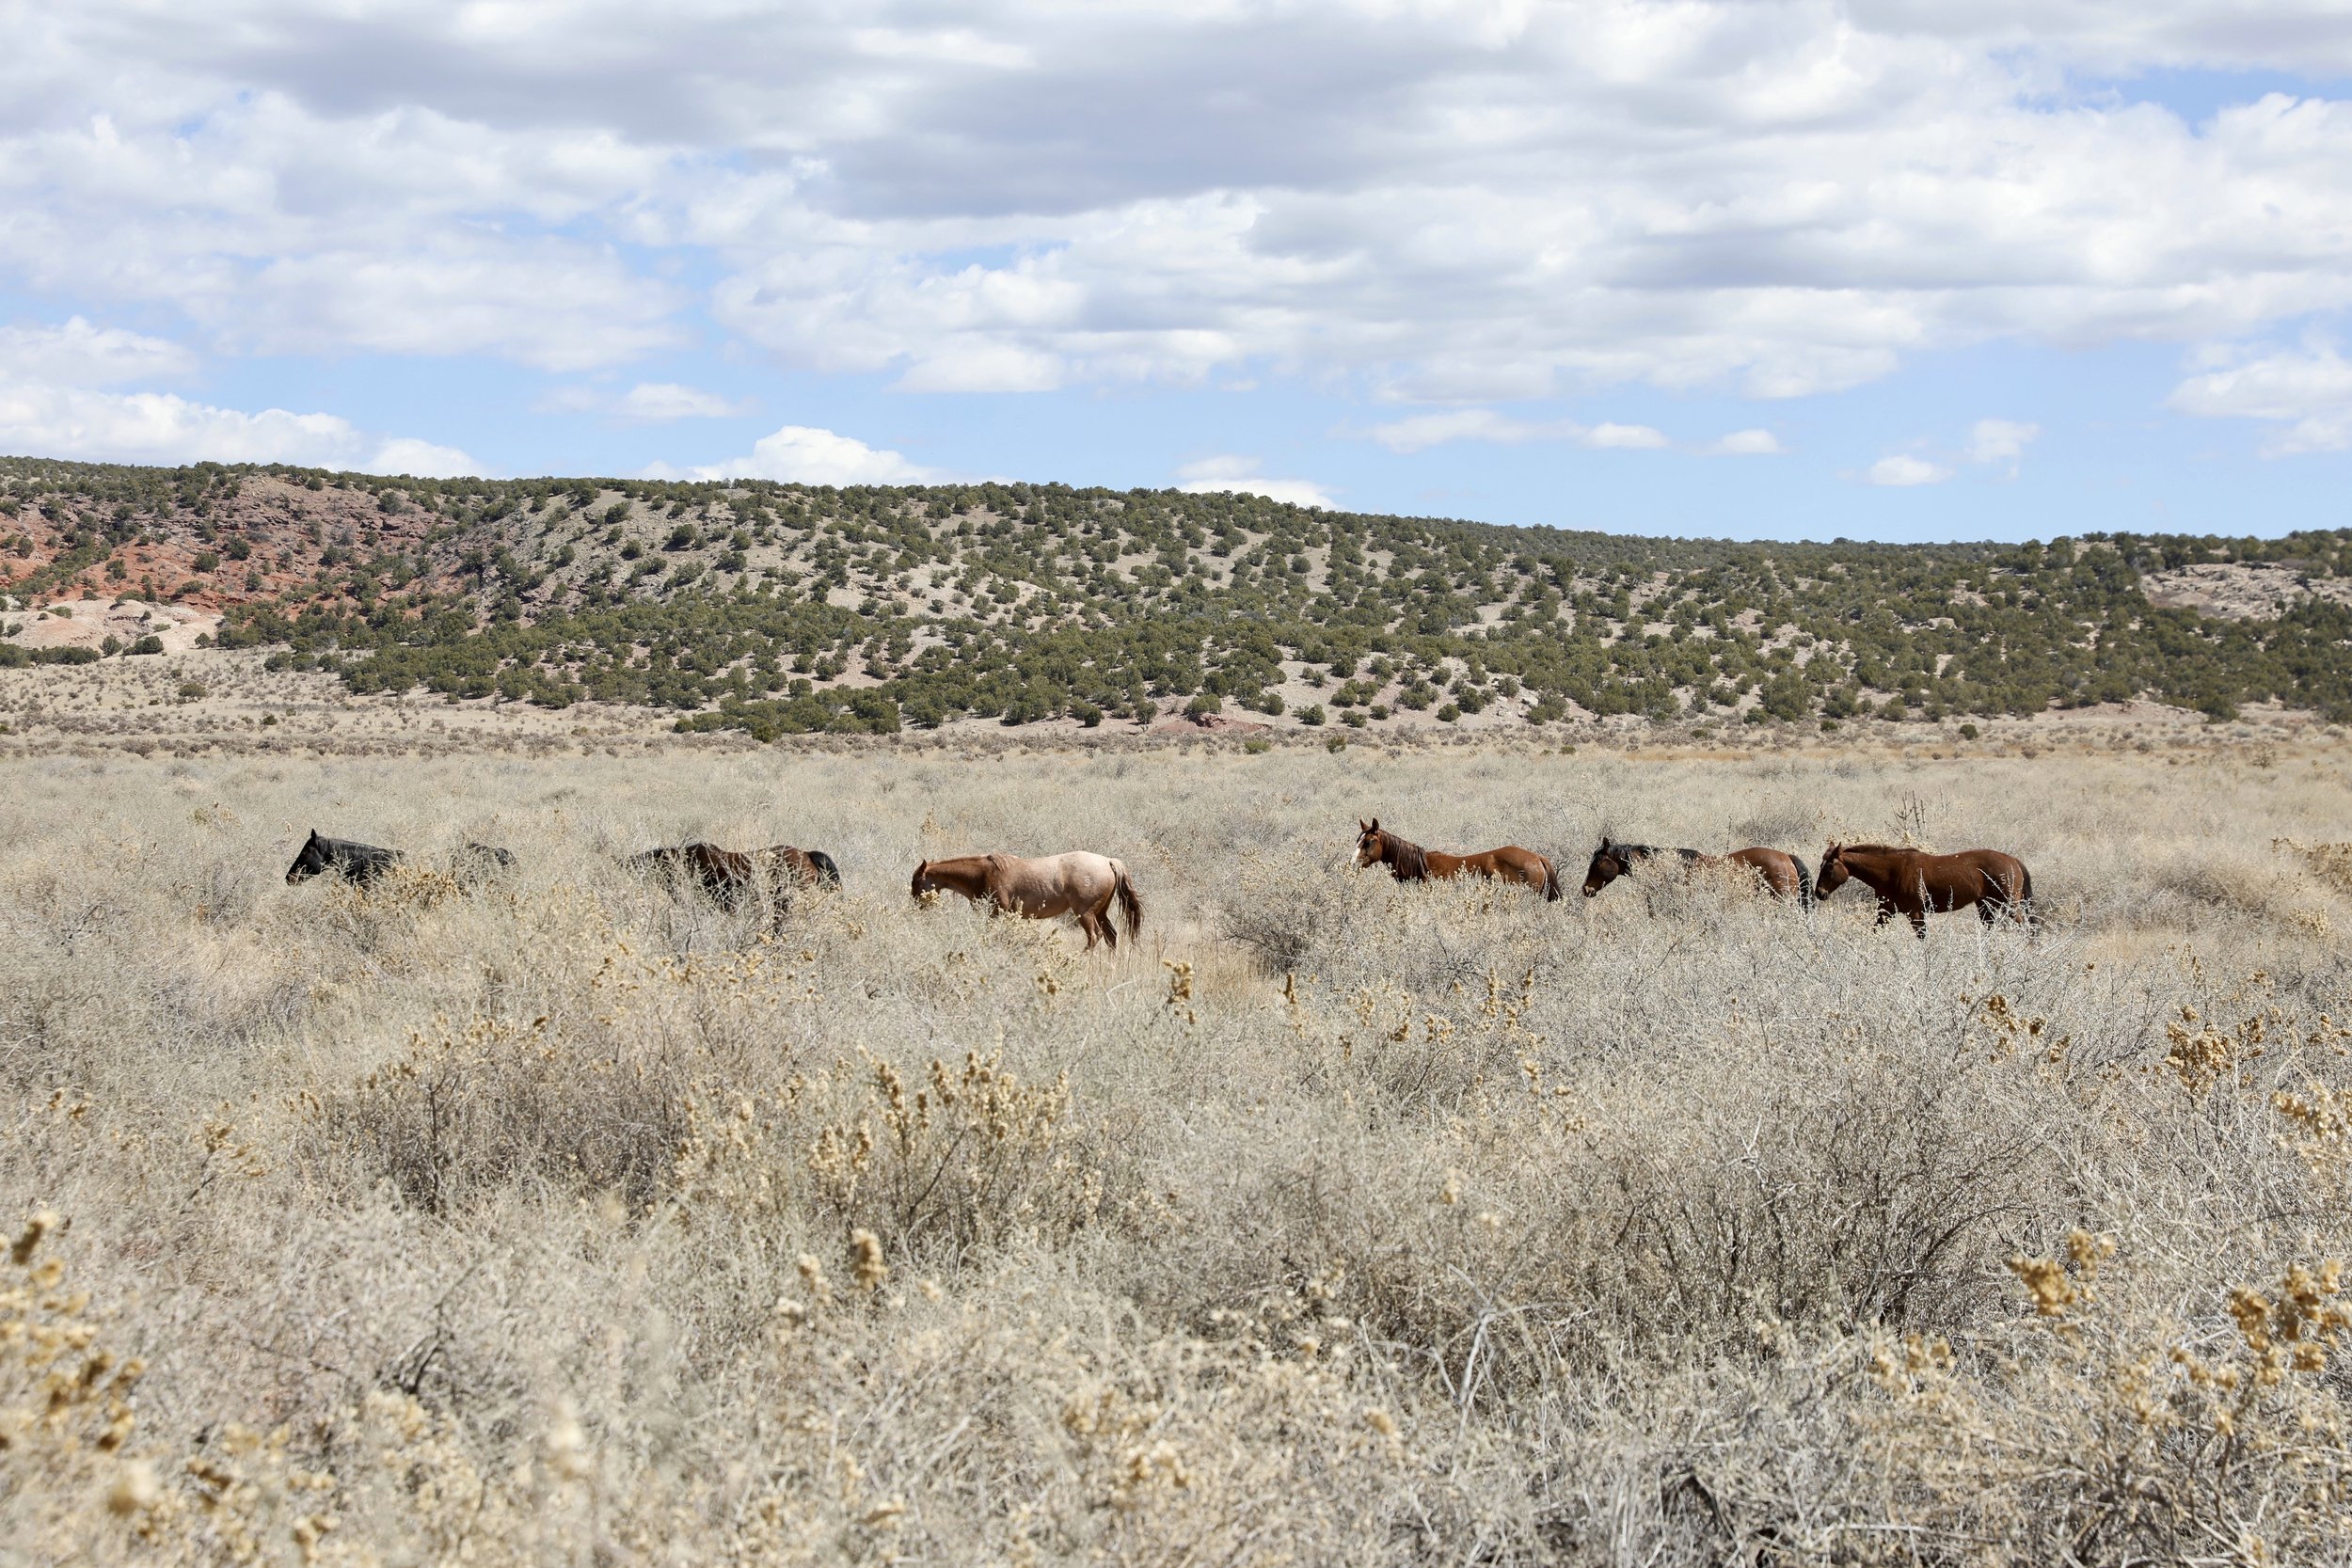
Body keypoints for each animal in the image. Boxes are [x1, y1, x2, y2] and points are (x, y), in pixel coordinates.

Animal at [910, 852, 1143, 951]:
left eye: (915, 881)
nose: (915, 905)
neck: (984, 873)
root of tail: (1108, 861)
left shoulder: (998, 914)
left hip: (1085, 913)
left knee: (1095, 937)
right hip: (1100, 912)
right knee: (1111, 937)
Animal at [1814, 842, 2033, 937]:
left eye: (1830, 867)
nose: (1819, 893)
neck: (1892, 871)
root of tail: (2013, 860)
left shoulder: (1916, 913)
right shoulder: (1886, 912)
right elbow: (1874, 932)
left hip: (2009, 905)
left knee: (2026, 926)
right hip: (1986, 905)